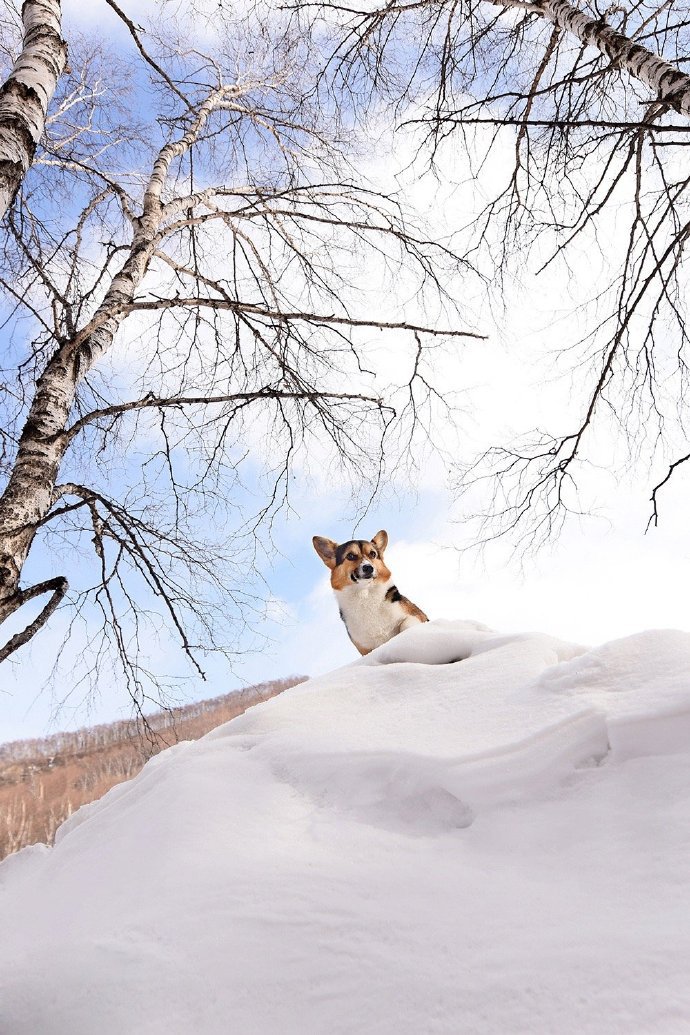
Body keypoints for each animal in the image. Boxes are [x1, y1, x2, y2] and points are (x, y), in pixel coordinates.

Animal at [312, 529, 426, 658]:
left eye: (372, 554)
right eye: (350, 556)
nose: (369, 568)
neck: (365, 595)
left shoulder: (416, 615)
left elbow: (405, 625)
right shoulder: (365, 648)